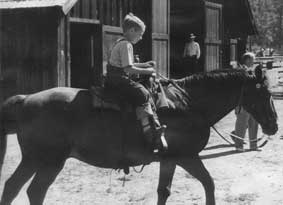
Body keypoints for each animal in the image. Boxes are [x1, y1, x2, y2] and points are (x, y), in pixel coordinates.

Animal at [0, 68, 278, 204]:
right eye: (265, 94)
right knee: (29, 189)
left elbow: (164, 191)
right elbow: (208, 184)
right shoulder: (186, 157)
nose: (274, 126)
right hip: (47, 160)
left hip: (39, 160)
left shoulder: (169, 159)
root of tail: (26, 99)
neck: (189, 105)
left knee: (20, 188)